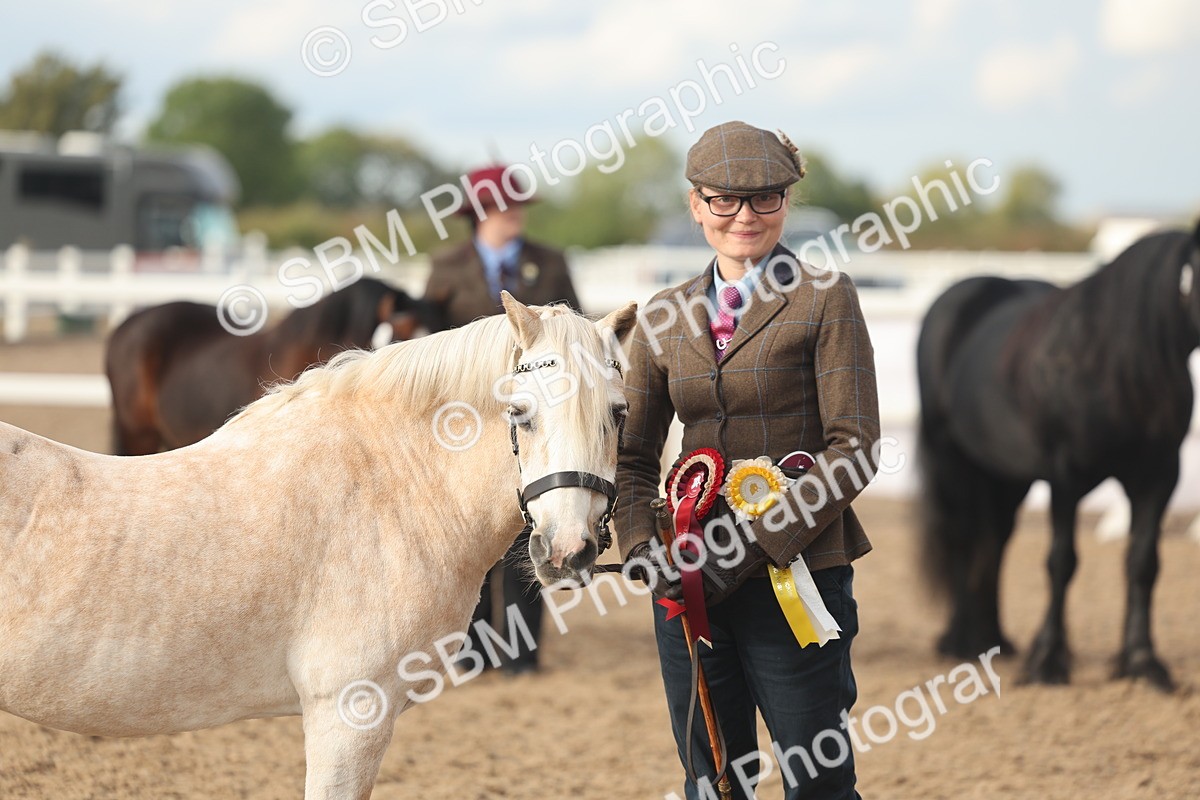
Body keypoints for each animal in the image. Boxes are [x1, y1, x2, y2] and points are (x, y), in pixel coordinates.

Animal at [917, 221, 1200, 692]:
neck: (1113, 365)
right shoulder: (1066, 476)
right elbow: (1061, 561)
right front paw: (1048, 661)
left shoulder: (1159, 477)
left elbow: (1143, 563)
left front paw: (1143, 662)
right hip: (953, 460)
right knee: (962, 536)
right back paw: (960, 641)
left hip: (1007, 476)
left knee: (994, 540)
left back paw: (995, 639)